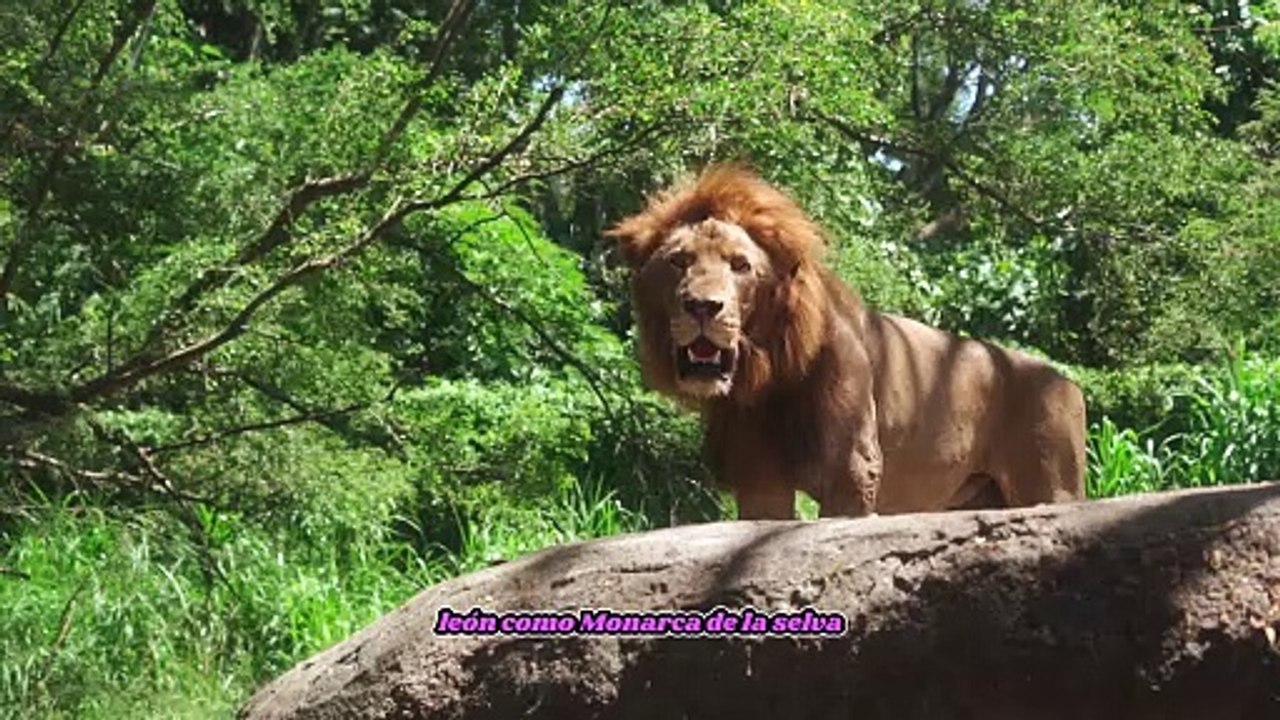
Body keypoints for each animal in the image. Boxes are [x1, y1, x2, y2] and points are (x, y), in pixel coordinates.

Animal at [606, 164, 1087, 520]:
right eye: (678, 262)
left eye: (740, 265)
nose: (703, 306)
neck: (770, 375)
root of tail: (1068, 382)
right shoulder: (760, 476)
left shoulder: (853, 470)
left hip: (1052, 485)